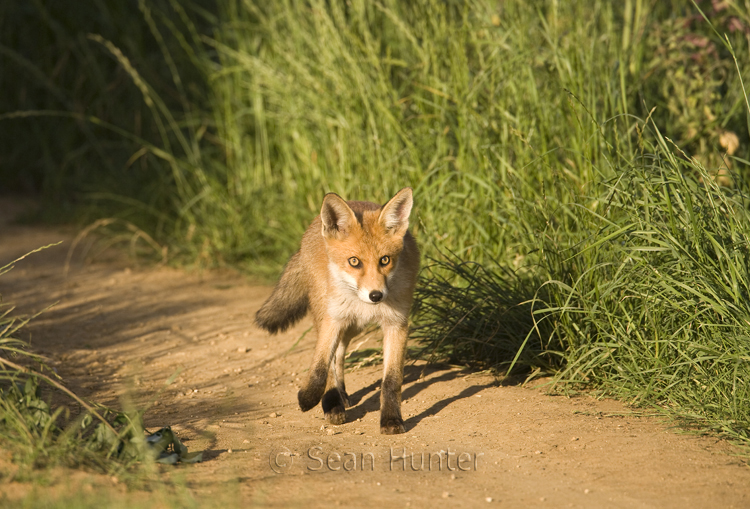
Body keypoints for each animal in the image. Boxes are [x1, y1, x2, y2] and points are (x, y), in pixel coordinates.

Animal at [256, 187, 420, 432]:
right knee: (331, 359)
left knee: (340, 354)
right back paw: (333, 402)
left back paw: (340, 395)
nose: (376, 295)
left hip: (354, 326)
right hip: (327, 314)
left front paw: (391, 419)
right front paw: (309, 398)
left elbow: (391, 381)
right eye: (354, 261)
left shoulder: (397, 324)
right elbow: (320, 368)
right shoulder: (332, 319)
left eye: (385, 260)